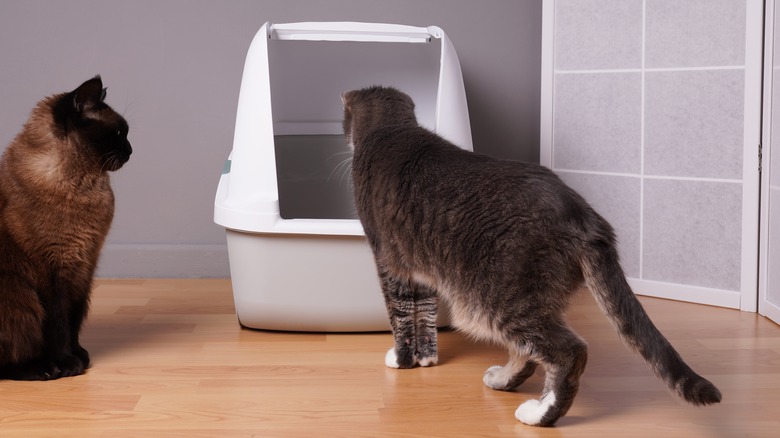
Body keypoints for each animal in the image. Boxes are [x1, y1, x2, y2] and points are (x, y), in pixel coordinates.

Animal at [344, 86, 724, 428]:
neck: (392, 131)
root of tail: (584, 216)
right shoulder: (417, 269)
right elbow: (423, 315)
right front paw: (426, 359)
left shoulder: (388, 262)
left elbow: (400, 314)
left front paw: (401, 359)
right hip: (528, 298)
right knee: (526, 351)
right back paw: (502, 380)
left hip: (498, 298)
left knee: (568, 352)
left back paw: (539, 413)